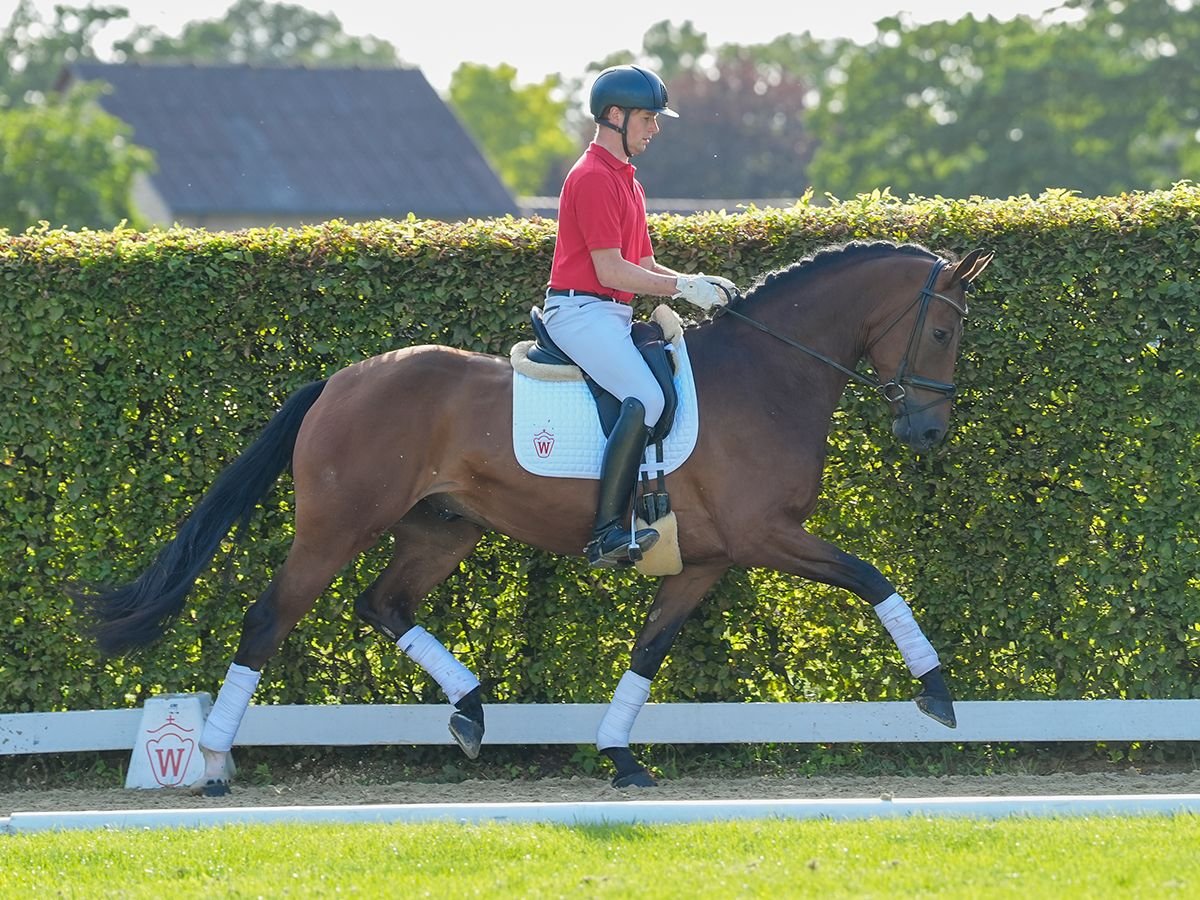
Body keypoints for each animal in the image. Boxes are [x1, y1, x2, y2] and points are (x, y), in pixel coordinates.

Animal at [72, 241, 993, 796]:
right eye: (943, 332)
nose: (927, 433)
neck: (768, 373)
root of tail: (339, 379)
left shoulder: (705, 560)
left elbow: (649, 650)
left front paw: (620, 755)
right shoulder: (766, 536)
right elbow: (874, 577)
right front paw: (938, 693)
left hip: (443, 529)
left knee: (383, 604)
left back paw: (473, 709)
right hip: (336, 529)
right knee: (270, 618)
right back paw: (214, 762)